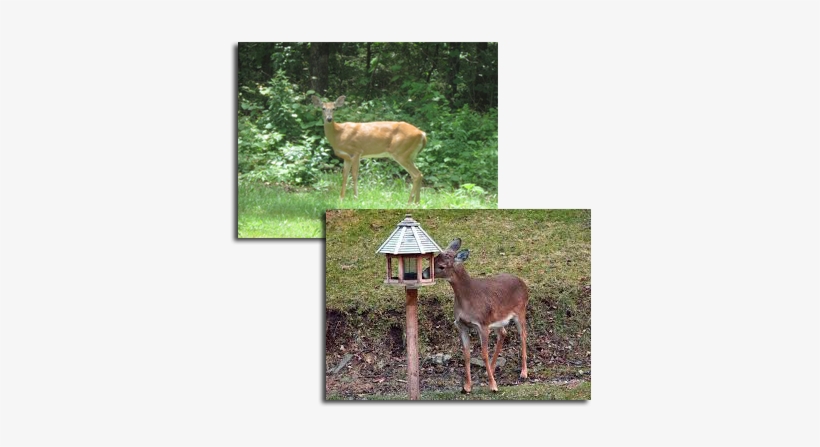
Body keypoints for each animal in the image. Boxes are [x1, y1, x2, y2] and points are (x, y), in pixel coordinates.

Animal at [426, 238, 529, 394]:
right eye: (434, 259)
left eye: (441, 266)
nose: (424, 273)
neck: (468, 299)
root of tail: (524, 284)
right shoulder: (461, 325)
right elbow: (467, 355)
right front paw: (467, 386)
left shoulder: (482, 324)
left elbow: (483, 354)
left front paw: (493, 386)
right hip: (497, 319)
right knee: (503, 333)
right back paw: (490, 370)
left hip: (520, 311)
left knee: (523, 335)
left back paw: (524, 372)